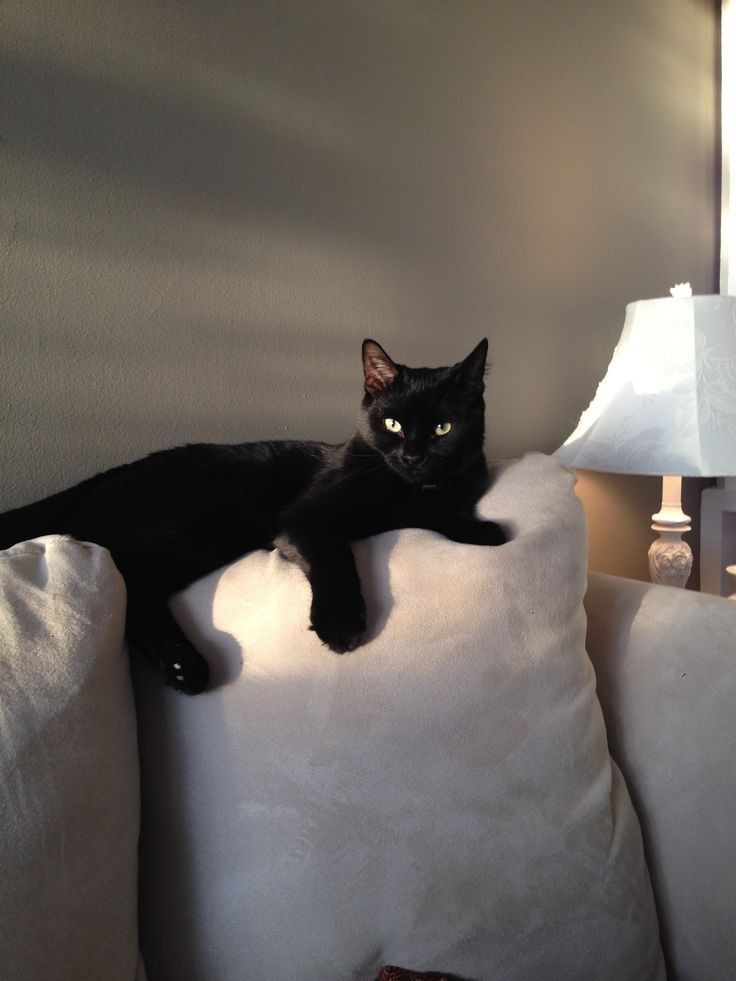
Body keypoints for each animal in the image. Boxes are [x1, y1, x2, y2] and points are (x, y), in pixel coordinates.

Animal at [0, 340, 506, 692]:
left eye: (443, 427)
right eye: (393, 424)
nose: (413, 456)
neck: (403, 487)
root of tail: (105, 476)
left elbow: (443, 511)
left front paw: (483, 531)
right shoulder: (306, 519)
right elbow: (336, 559)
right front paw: (339, 625)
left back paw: (181, 666)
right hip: (189, 526)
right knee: (124, 575)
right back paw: (187, 665)